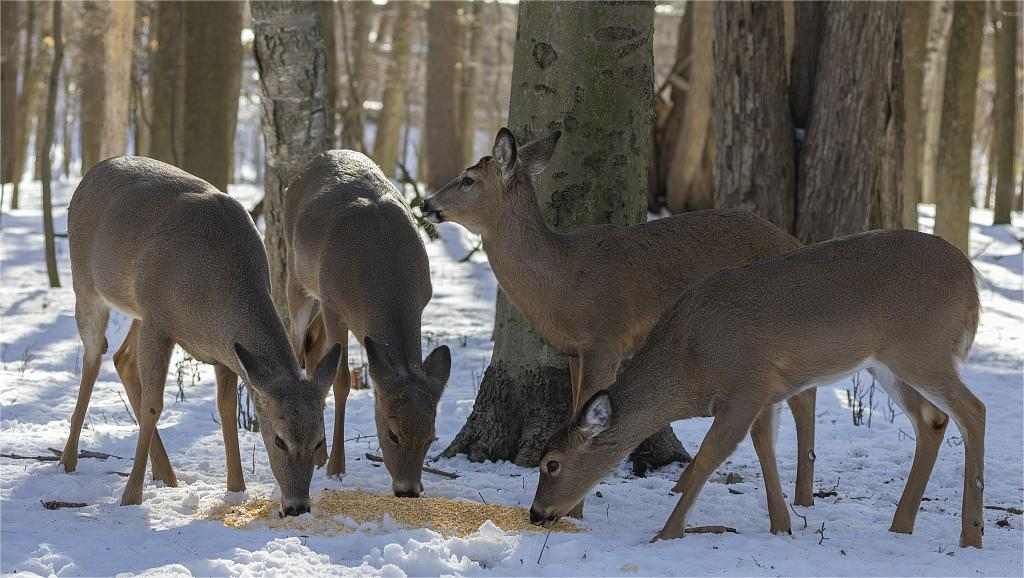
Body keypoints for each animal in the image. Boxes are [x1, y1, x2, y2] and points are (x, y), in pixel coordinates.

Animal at [61, 155, 342, 516]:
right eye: (280, 439)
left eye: (319, 439)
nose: (297, 506)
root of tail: (93, 171)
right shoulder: (159, 320)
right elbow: (154, 404)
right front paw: (131, 496)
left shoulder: (225, 349)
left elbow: (226, 408)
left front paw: (236, 489)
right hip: (86, 283)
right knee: (94, 355)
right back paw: (68, 459)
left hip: (137, 309)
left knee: (122, 359)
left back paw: (166, 474)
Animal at [284, 148, 452, 496]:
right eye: (392, 433)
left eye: (431, 437)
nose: (408, 489)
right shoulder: (334, 303)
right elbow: (341, 381)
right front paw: (336, 468)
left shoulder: (424, 298)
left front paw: (326, 460)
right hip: (298, 279)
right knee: (297, 344)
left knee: (314, 350)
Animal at [419, 128, 819, 508]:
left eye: (468, 179)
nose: (426, 203)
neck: (560, 279)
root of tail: (795, 242)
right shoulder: (572, 351)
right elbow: (575, 410)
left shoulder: (605, 340)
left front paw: (574, 507)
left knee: (804, 397)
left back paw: (803, 497)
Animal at [528, 229, 983, 545]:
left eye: (551, 463)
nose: (536, 513)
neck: (690, 364)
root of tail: (970, 279)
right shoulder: (766, 391)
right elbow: (765, 449)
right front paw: (782, 526)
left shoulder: (744, 385)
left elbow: (710, 456)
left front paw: (666, 533)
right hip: (887, 363)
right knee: (933, 419)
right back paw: (901, 525)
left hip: (923, 347)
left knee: (973, 410)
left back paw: (971, 534)